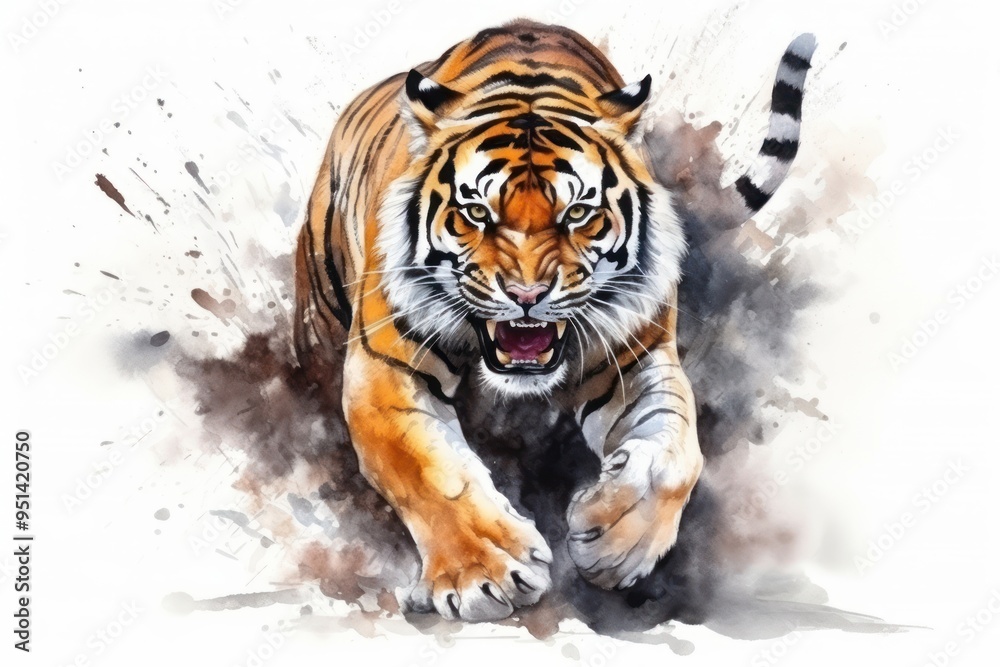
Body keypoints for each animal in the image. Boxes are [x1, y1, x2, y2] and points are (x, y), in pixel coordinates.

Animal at [293, 19, 816, 622]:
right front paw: (486, 572)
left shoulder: (636, 357)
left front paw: (611, 543)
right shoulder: (386, 366)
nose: (527, 294)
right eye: (476, 212)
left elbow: (675, 456)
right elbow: (426, 470)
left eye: (579, 213)